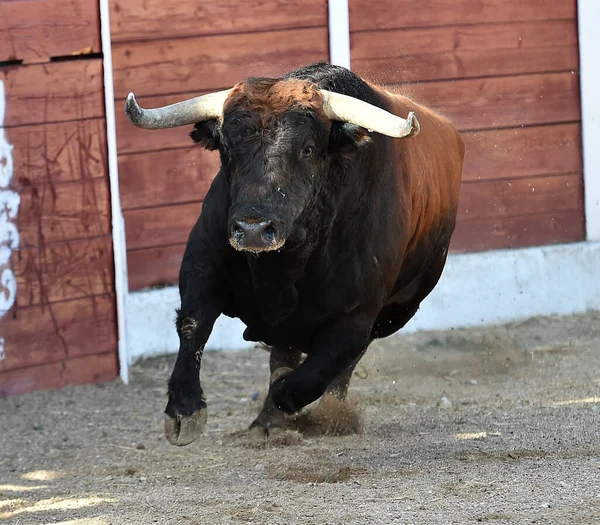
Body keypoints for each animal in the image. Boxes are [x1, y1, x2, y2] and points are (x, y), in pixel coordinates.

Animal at [125, 62, 464, 446]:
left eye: (307, 149)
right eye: (226, 147)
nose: (253, 229)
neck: (284, 265)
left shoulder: (357, 316)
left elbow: (317, 371)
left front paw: (288, 401)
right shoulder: (203, 262)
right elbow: (193, 324)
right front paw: (184, 410)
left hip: (395, 312)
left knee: (338, 364)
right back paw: (267, 423)